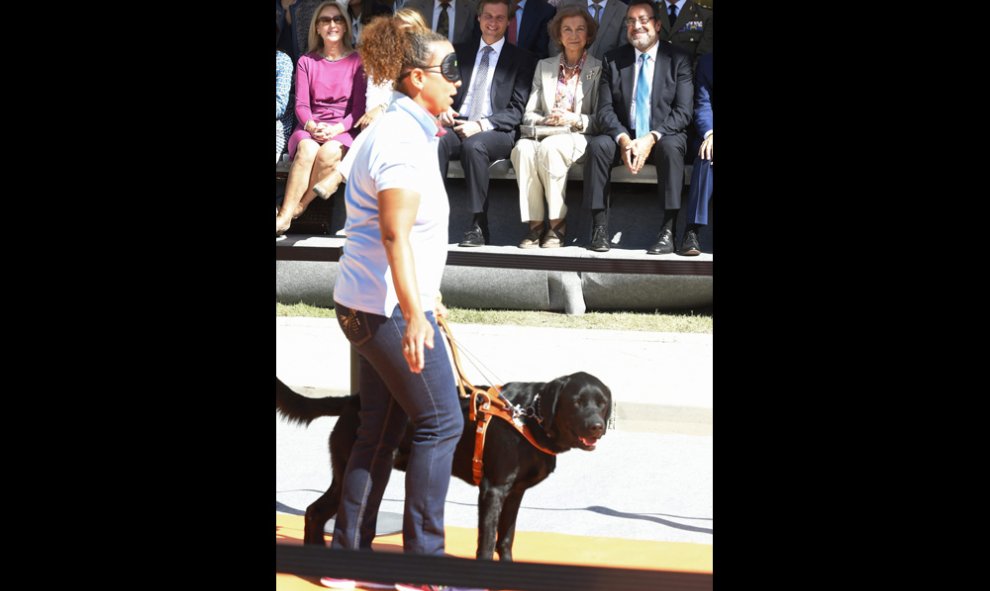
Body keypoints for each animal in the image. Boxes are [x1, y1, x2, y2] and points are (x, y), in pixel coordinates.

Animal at [278, 372, 612, 560]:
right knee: (320, 512)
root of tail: (352, 399)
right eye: (577, 401)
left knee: (315, 511)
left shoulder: (515, 493)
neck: (528, 418)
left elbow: (505, 538)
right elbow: (487, 539)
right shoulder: (493, 490)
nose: (597, 426)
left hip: (353, 473)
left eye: (603, 403)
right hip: (360, 468)